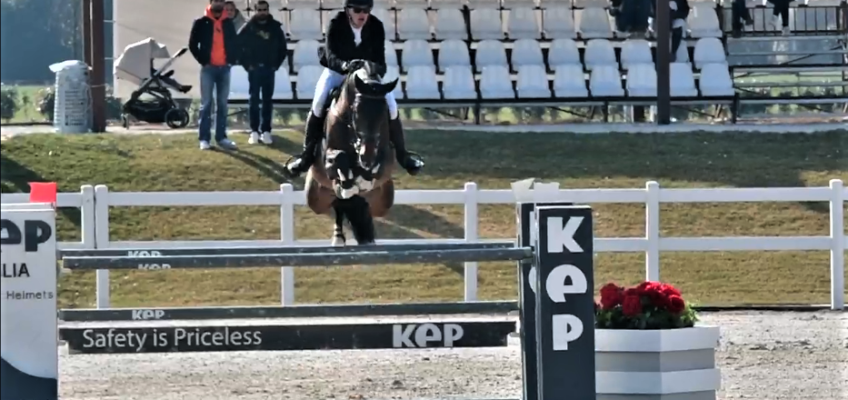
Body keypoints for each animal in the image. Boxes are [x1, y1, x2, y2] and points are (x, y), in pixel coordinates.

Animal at [304, 61, 400, 247]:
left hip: (384, 202)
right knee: (339, 203)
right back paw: (338, 237)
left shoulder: (386, 157)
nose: (366, 155)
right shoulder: (328, 158)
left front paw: (364, 180)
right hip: (316, 199)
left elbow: (377, 166)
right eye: (356, 110)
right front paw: (349, 184)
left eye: (384, 110)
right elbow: (339, 159)